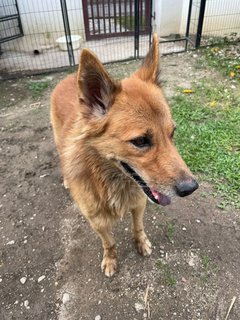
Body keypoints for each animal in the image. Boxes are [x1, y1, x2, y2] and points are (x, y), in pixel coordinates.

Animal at [50, 33, 199, 276]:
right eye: (140, 141)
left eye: (172, 133)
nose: (191, 188)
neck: (111, 181)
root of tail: (69, 77)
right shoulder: (97, 222)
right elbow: (109, 242)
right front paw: (111, 259)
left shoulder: (139, 204)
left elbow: (138, 228)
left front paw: (141, 243)